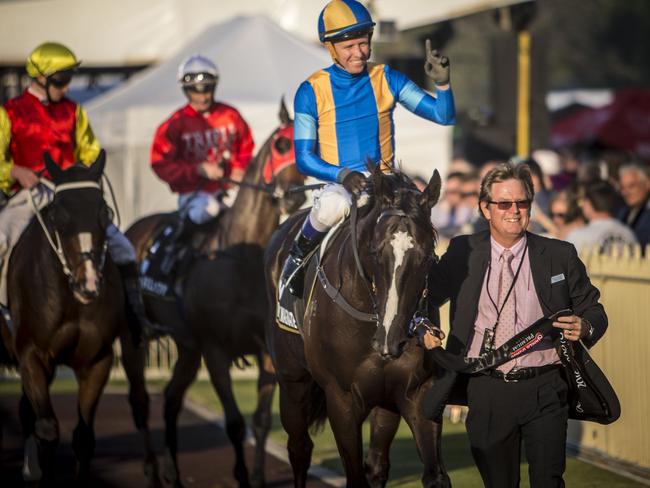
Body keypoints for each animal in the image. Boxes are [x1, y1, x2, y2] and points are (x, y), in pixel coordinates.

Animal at [0, 154, 126, 482]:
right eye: (58, 215)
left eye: (104, 212)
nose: (89, 283)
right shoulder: (32, 354)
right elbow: (47, 428)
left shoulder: (98, 360)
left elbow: (83, 437)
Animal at [123, 101, 308, 486]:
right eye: (282, 145)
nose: (295, 194)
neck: (241, 259)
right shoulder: (215, 351)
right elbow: (235, 424)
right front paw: (241, 475)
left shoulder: (264, 353)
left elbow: (261, 421)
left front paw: (258, 477)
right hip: (133, 337)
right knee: (140, 400)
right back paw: (151, 469)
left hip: (187, 348)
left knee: (171, 399)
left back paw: (174, 473)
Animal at [264, 166, 450, 486]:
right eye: (375, 252)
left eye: (427, 257)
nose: (392, 340)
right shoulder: (342, 401)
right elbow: (354, 475)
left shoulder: (416, 393)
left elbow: (434, 475)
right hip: (292, 381)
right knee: (299, 448)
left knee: (376, 464)